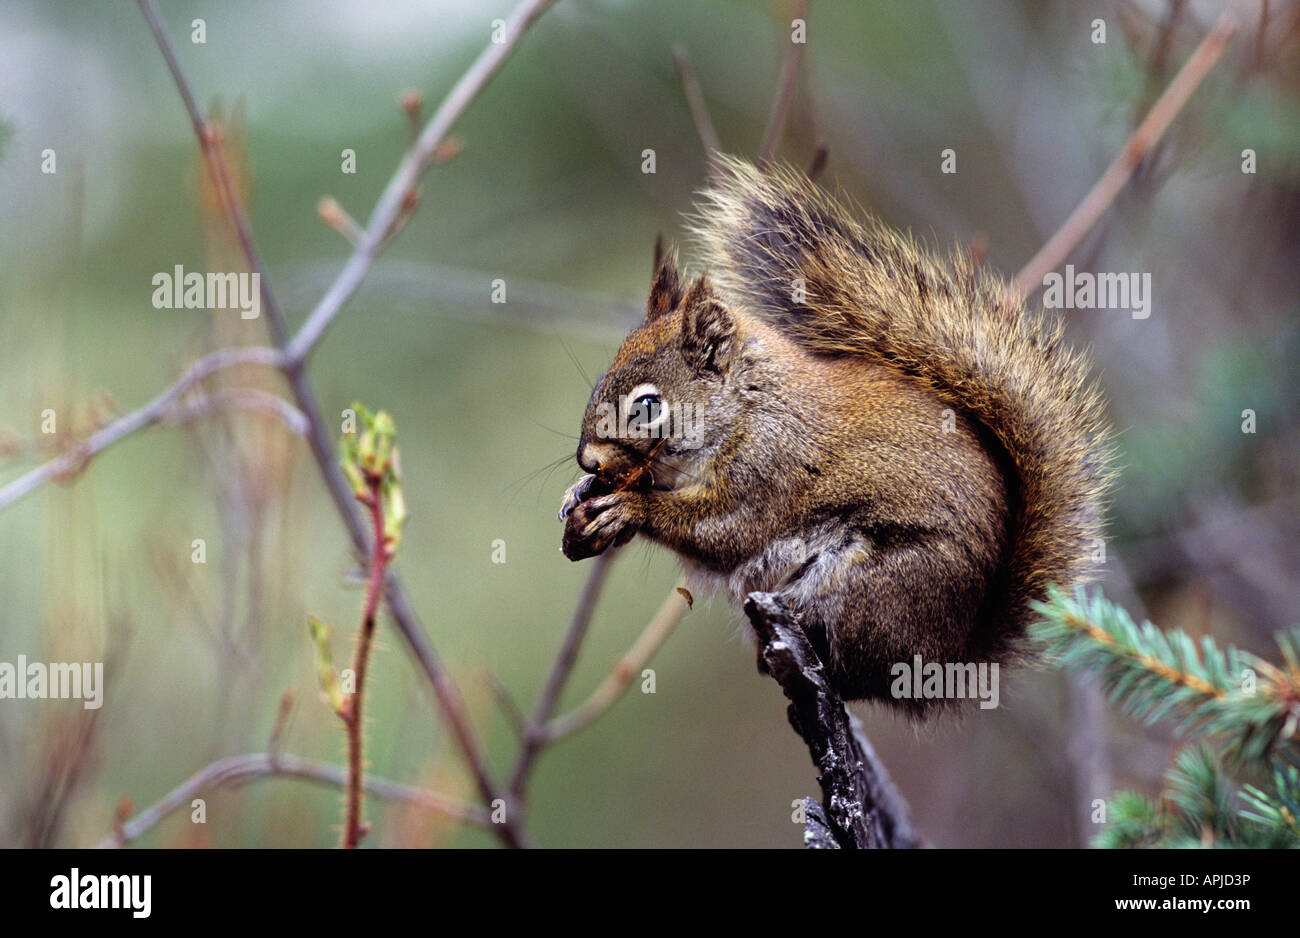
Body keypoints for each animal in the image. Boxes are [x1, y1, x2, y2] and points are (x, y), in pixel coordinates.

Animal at [559, 154, 1112, 714]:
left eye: (648, 407)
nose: (588, 461)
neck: (749, 408)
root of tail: (954, 655)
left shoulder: (771, 469)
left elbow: (726, 531)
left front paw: (630, 507)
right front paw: (579, 497)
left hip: (866, 588)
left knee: (855, 673)